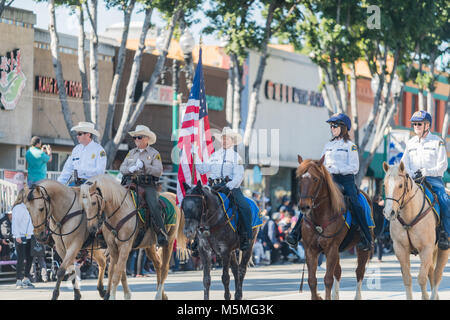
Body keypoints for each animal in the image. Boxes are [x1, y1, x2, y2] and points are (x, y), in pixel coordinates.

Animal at [296, 155, 372, 300]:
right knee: (338, 271)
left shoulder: (331, 248)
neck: (320, 216)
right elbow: (312, 280)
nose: (304, 206)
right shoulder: (310, 249)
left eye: (315, 179)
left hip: (362, 248)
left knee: (359, 271)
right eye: (299, 178)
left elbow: (328, 279)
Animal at [382, 162, 448, 300]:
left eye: (400, 185)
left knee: (437, 275)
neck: (409, 217)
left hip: (442, 250)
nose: (389, 212)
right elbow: (408, 279)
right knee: (432, 273)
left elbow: (422, 278)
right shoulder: (400, 249)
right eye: (384, 185)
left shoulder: (426, 249)